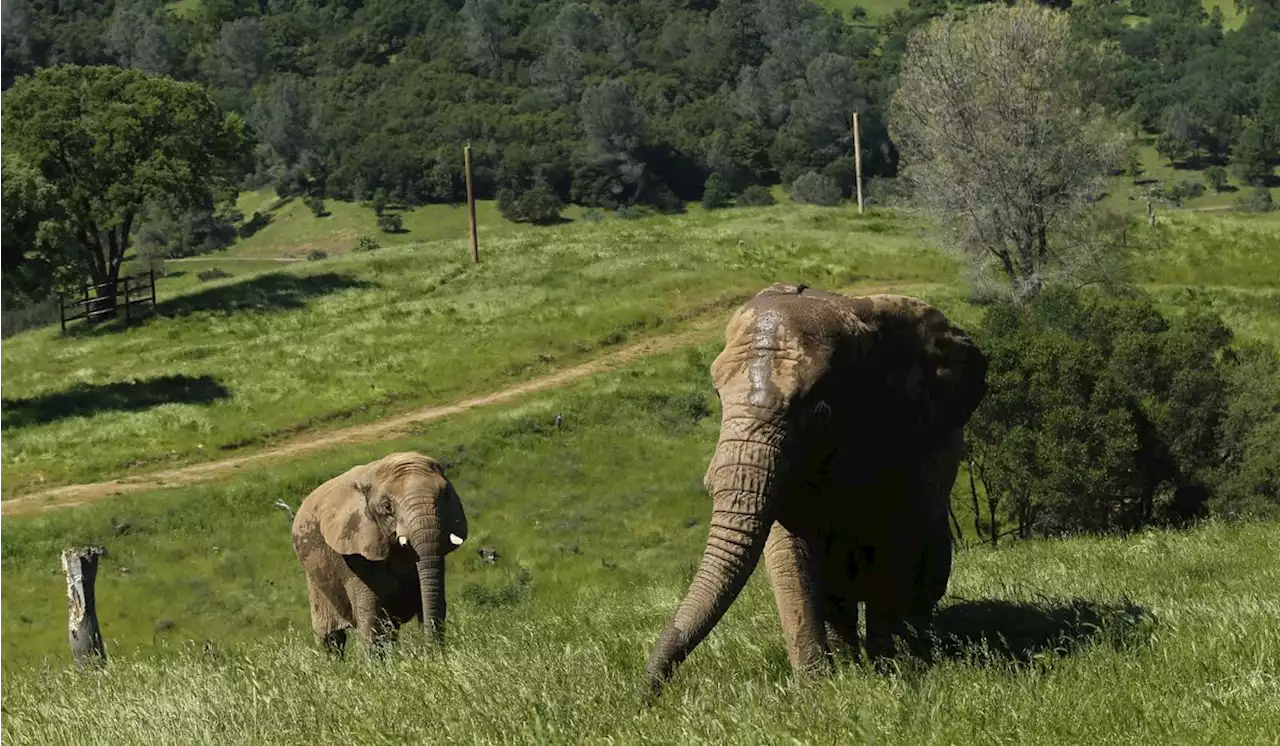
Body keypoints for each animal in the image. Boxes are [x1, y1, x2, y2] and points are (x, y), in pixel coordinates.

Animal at [291, 450, 471, 655]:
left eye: (445, 495)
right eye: (387, 507)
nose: (431, 652)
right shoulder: (355, 553)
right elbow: (372, 619)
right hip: (315, 579)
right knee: (330, 638)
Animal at [640, 282, 988, 696]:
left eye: (818, 408)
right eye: (718, 394)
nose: (645, 696)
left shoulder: (910, 443)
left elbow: (893, 547)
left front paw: (891, 675)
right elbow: (789, 555)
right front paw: (818, 690)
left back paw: (912, 652)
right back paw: (852, 664)